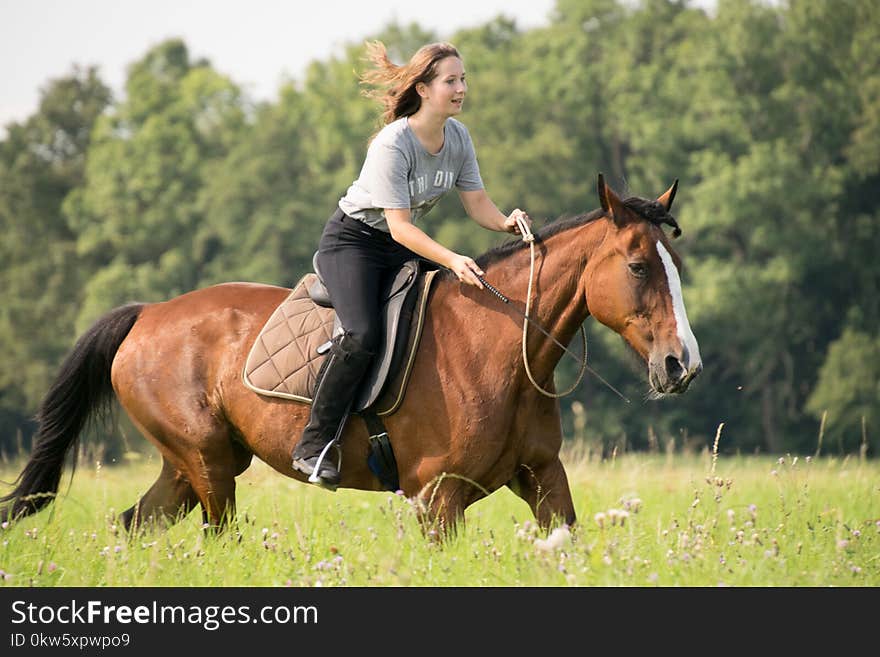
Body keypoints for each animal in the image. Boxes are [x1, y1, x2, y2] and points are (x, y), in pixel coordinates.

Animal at [0, 174, 700, 532]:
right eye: (639, 266)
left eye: (675, 262)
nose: (681, 366)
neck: (499, 350)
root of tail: (147, 314)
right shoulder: (437, 499)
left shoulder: (544, 480)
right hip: (208, 465)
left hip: (190, 465)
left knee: (131, 525)